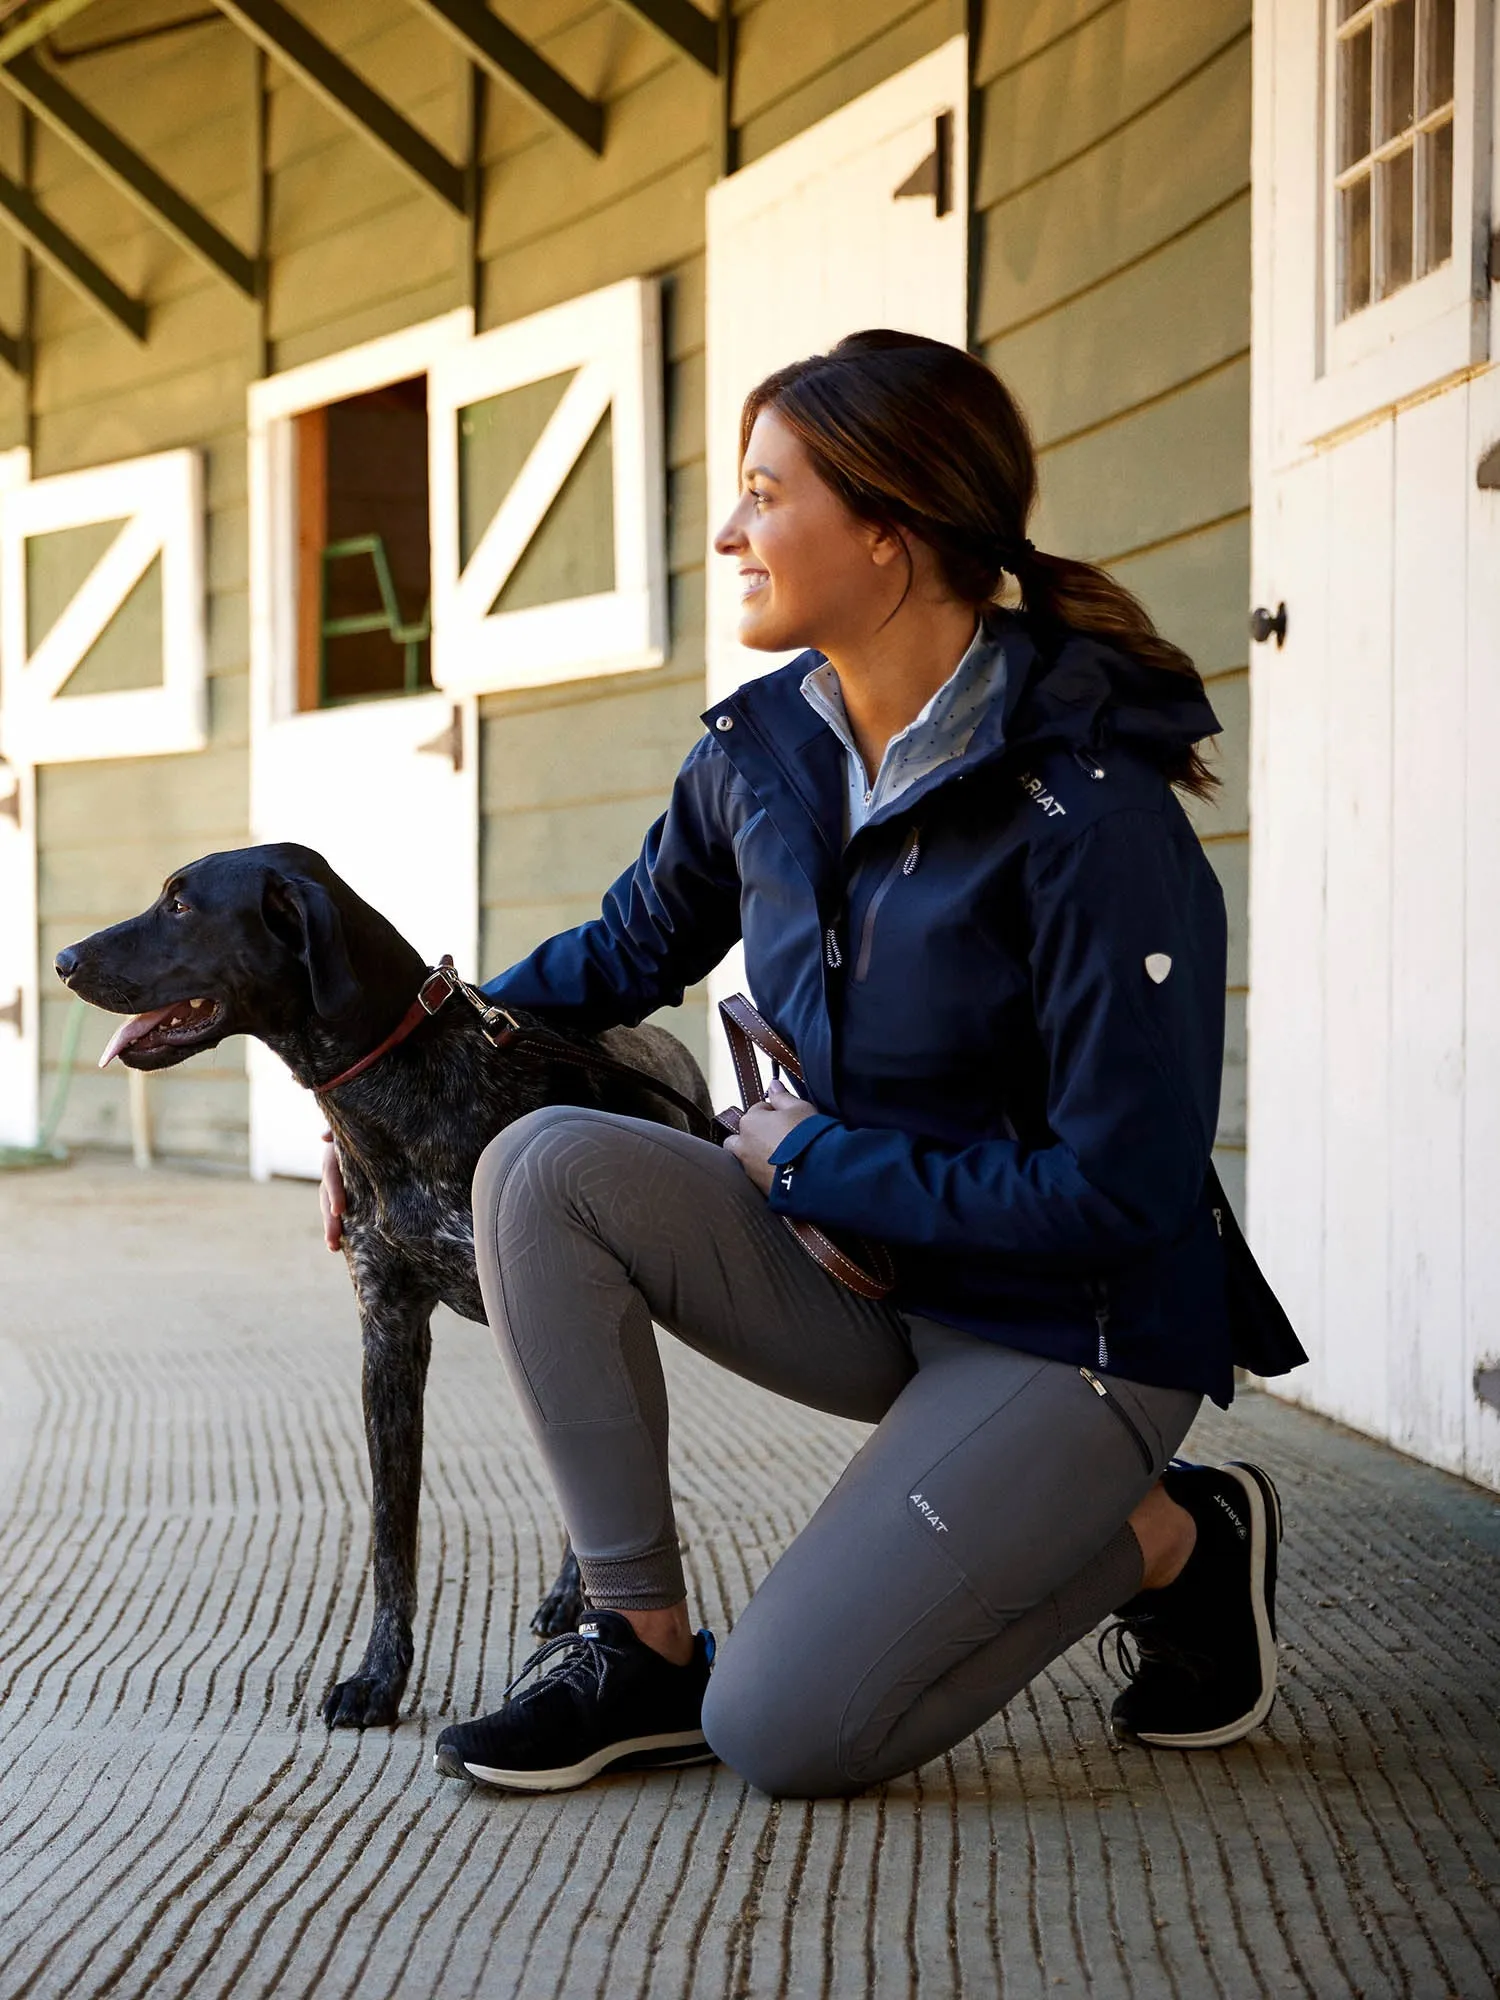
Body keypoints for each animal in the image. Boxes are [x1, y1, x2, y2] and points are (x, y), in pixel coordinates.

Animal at [55, 836, 712, 1728]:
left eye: (181, 906)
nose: (62, 959)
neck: (403, 1083)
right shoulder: (389, 1333)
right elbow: (389, 1535)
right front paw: (380, 1676)